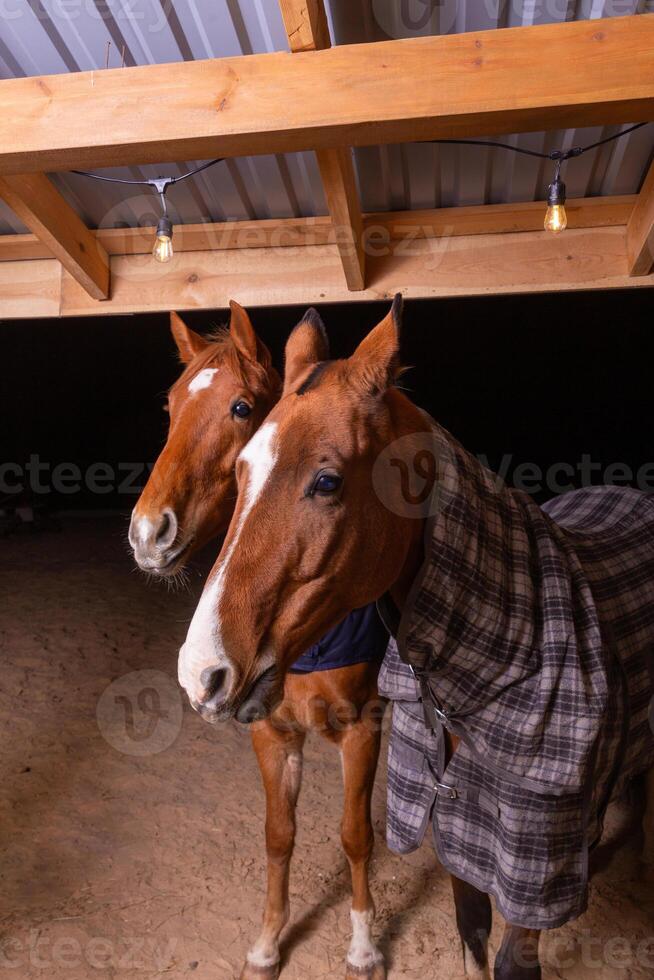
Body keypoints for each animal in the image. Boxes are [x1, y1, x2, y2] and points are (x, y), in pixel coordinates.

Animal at [131, 304, 392, 980]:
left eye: (242, 407)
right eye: (170, 406)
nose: (147, 532)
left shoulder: (364, 728)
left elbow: (356, 835)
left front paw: (363, 945)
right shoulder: (271, 732)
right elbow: (279, 836)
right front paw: (268, 942)